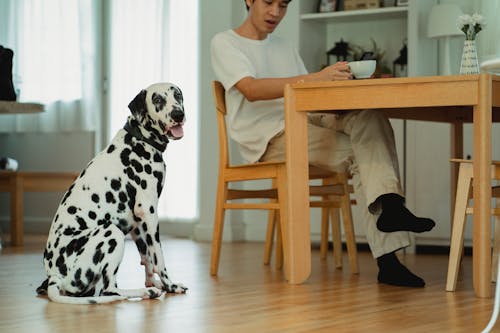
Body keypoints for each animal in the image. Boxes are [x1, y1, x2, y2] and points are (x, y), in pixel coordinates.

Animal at [35, 81, 188, 302]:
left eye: (177, 95)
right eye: (157, 99)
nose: (178, 114)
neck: (139, 139)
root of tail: (55, 276)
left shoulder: (138, 223)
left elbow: (147, 258)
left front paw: (154, 282)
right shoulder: (149, 213)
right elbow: (158, 258)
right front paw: (170, 285)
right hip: (112, 232)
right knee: (109, 290)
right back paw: (144, 292)